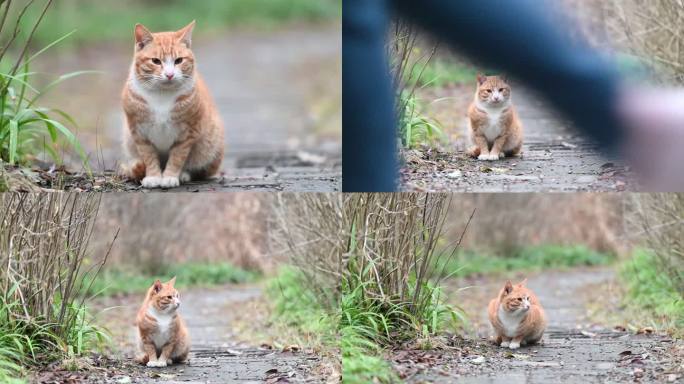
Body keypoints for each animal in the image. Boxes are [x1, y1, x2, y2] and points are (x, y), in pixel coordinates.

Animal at [119, 21, 223, 189]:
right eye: (155, 61)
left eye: (179, 60)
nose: (169, 74)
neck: (162, 95)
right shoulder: (139, 132)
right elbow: (148, 156)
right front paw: (153, 176)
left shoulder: (187, 133)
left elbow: (177, 157)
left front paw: (170, 176)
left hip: (210, 145)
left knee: (201, 170)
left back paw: (184, 174)